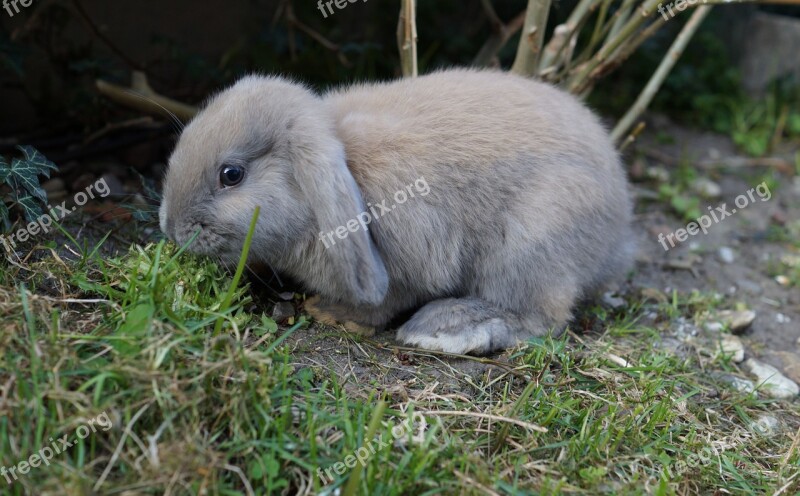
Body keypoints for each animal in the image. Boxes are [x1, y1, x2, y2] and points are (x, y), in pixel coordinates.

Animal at [159, 69, 636, 356]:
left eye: (232, 174)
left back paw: (445, 327)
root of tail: (618, 237)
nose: (172, 228)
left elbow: (390, 299)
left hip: (530, 245)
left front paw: (334, 314)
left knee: (541, 317)